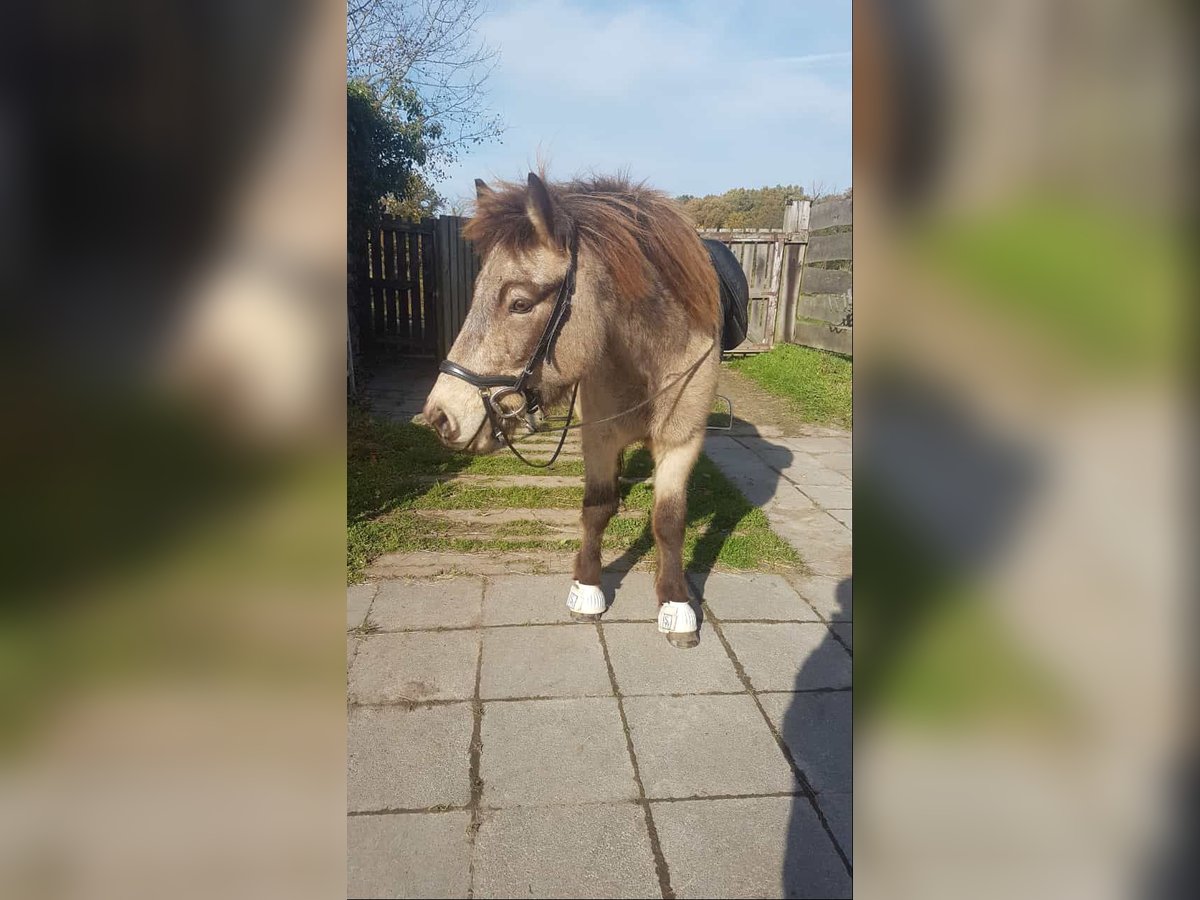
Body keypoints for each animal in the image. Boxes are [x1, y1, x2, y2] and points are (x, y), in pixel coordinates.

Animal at [424, 170, 720, 648]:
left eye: (520, 303)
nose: (440, 416)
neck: (648, 361)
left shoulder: (683, 441)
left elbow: (669, 520)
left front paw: (676, 604)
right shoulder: (598, 435)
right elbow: (596, 509)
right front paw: (588, 587)